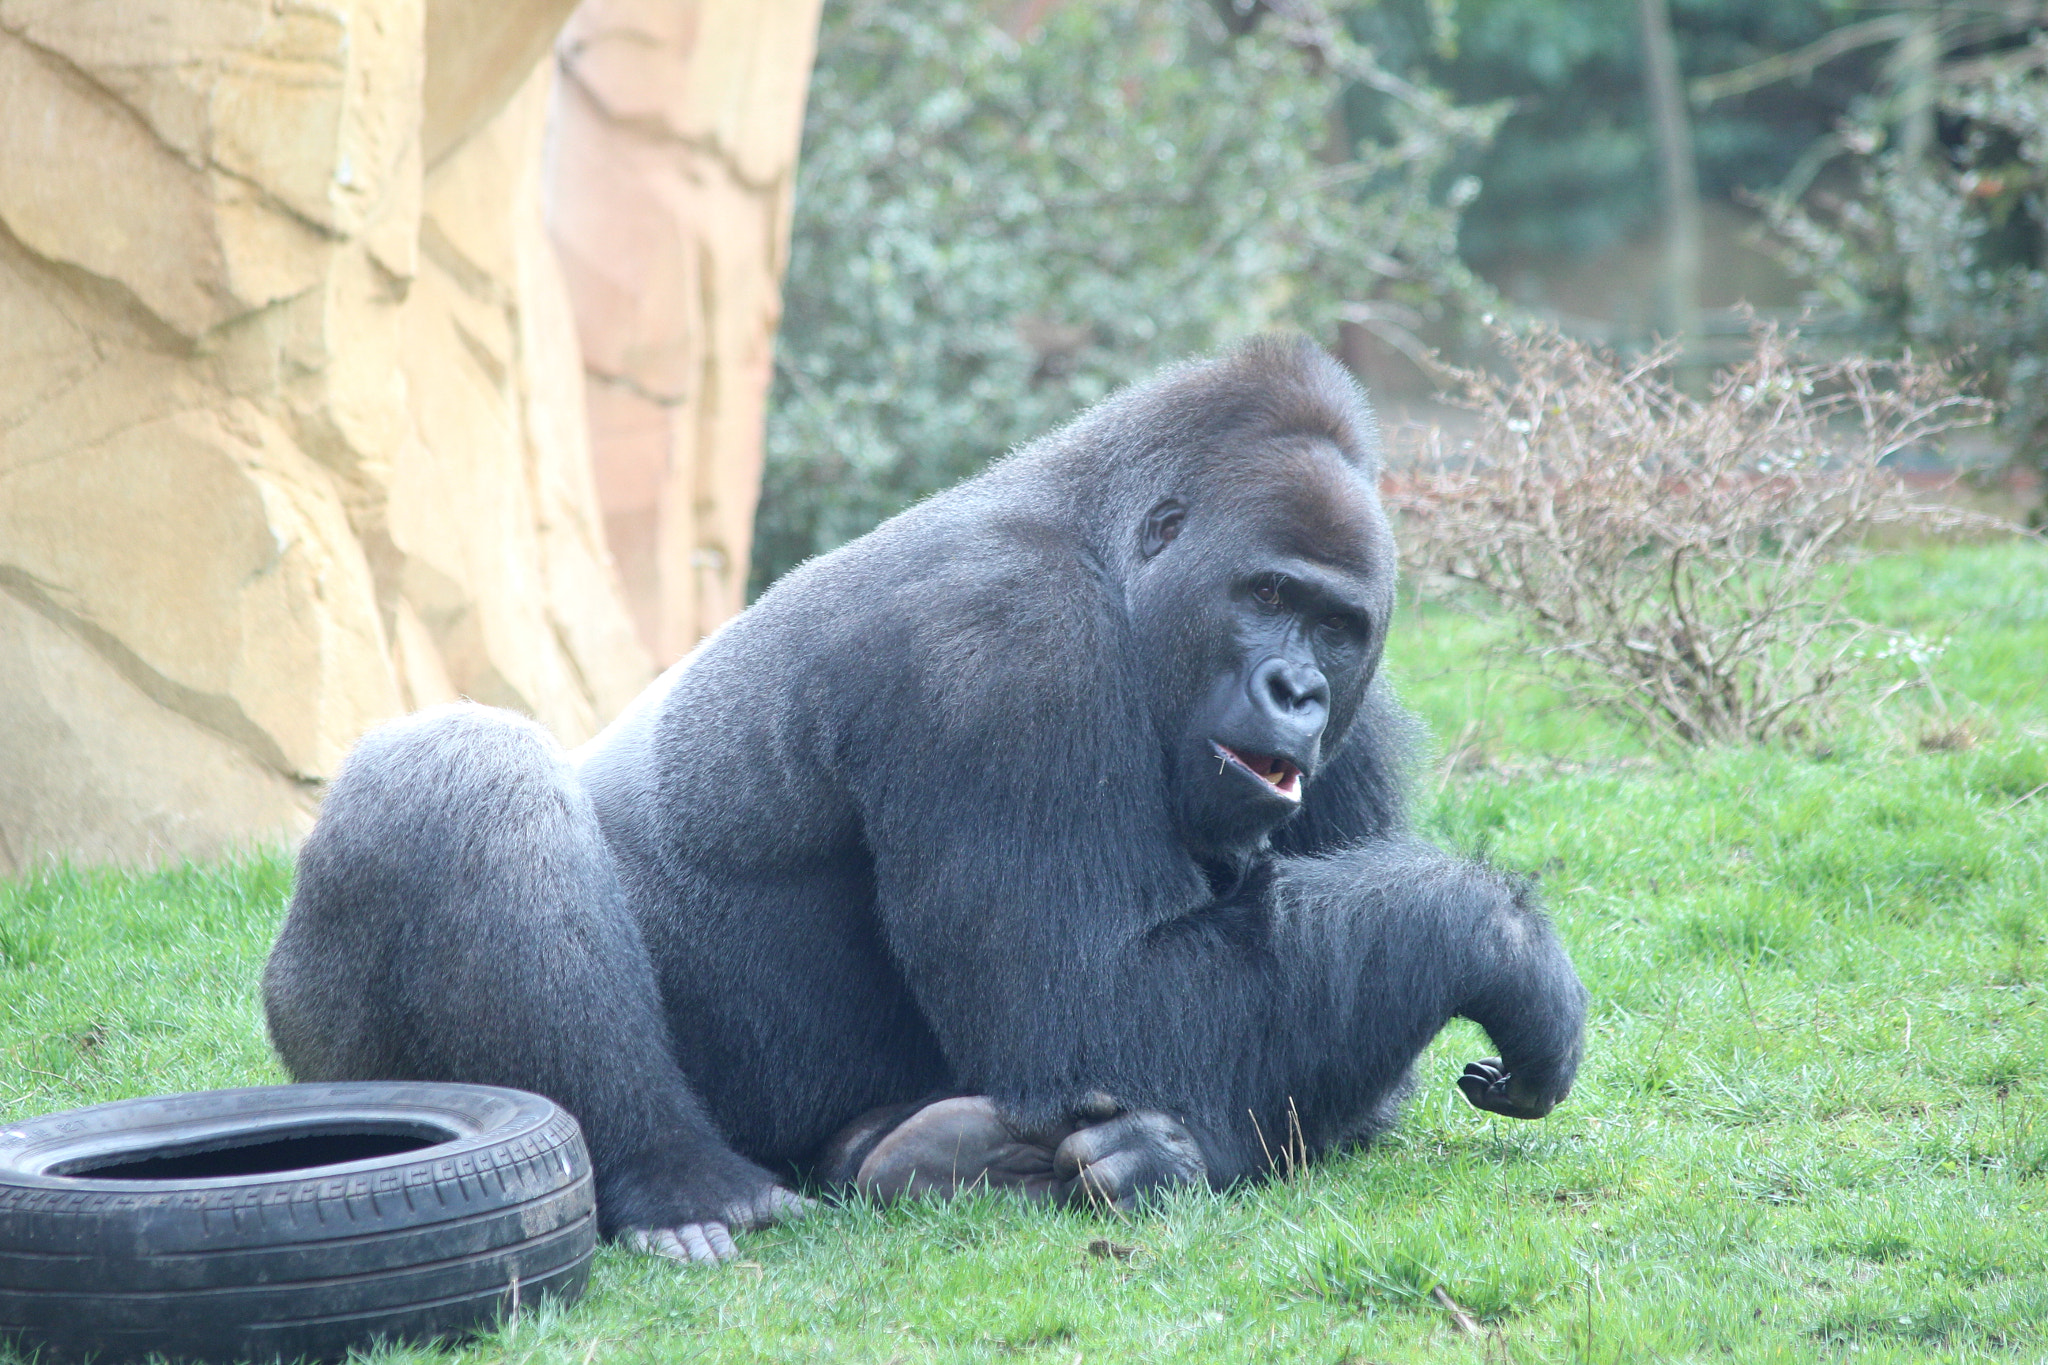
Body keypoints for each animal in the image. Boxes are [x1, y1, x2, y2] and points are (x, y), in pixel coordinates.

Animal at [264, 335, 1589, 1268]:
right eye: (1264, 594)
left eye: (1333, 624)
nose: (1296, 690)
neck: (1110, 558)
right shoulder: (1005, 656)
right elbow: (1090, 1006)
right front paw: (1500, 941)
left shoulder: (1358, 731)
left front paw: (1160, 1150)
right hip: (327, 1047)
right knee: (461, 773)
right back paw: (680, 1181)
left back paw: (933, 1153)